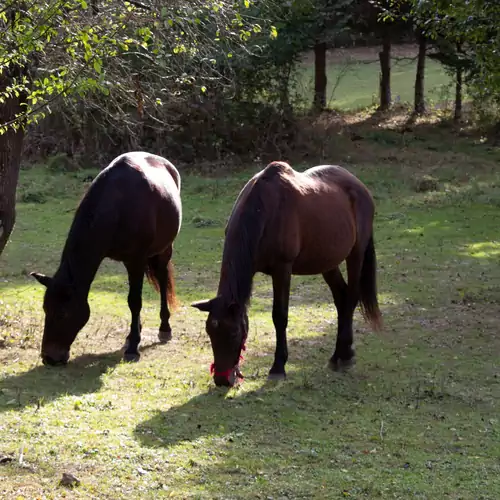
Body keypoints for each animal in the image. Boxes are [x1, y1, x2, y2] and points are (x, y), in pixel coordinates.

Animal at [30, 150, 182, 366]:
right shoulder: (130, 262)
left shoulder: (136, 260)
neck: (117, 206)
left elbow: (135, 301)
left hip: (164, 250)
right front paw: (132, 338)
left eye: (62, 313)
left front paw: (133, 348)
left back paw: (164, 328)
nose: (49, 358)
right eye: (45, 309)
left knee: (161, 280)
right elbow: (133, 300)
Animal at [193, 160, 380, 386]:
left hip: (356, 255)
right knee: (341, 298)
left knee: (351, 297)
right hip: (327, 261)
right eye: (210, 331)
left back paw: (344, 355)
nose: (222, 380)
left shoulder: (282, 269)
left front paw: (278, 367)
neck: (263, 211)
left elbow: (279, 316)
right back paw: (340, 354)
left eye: (234, 332)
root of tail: (360, 186)